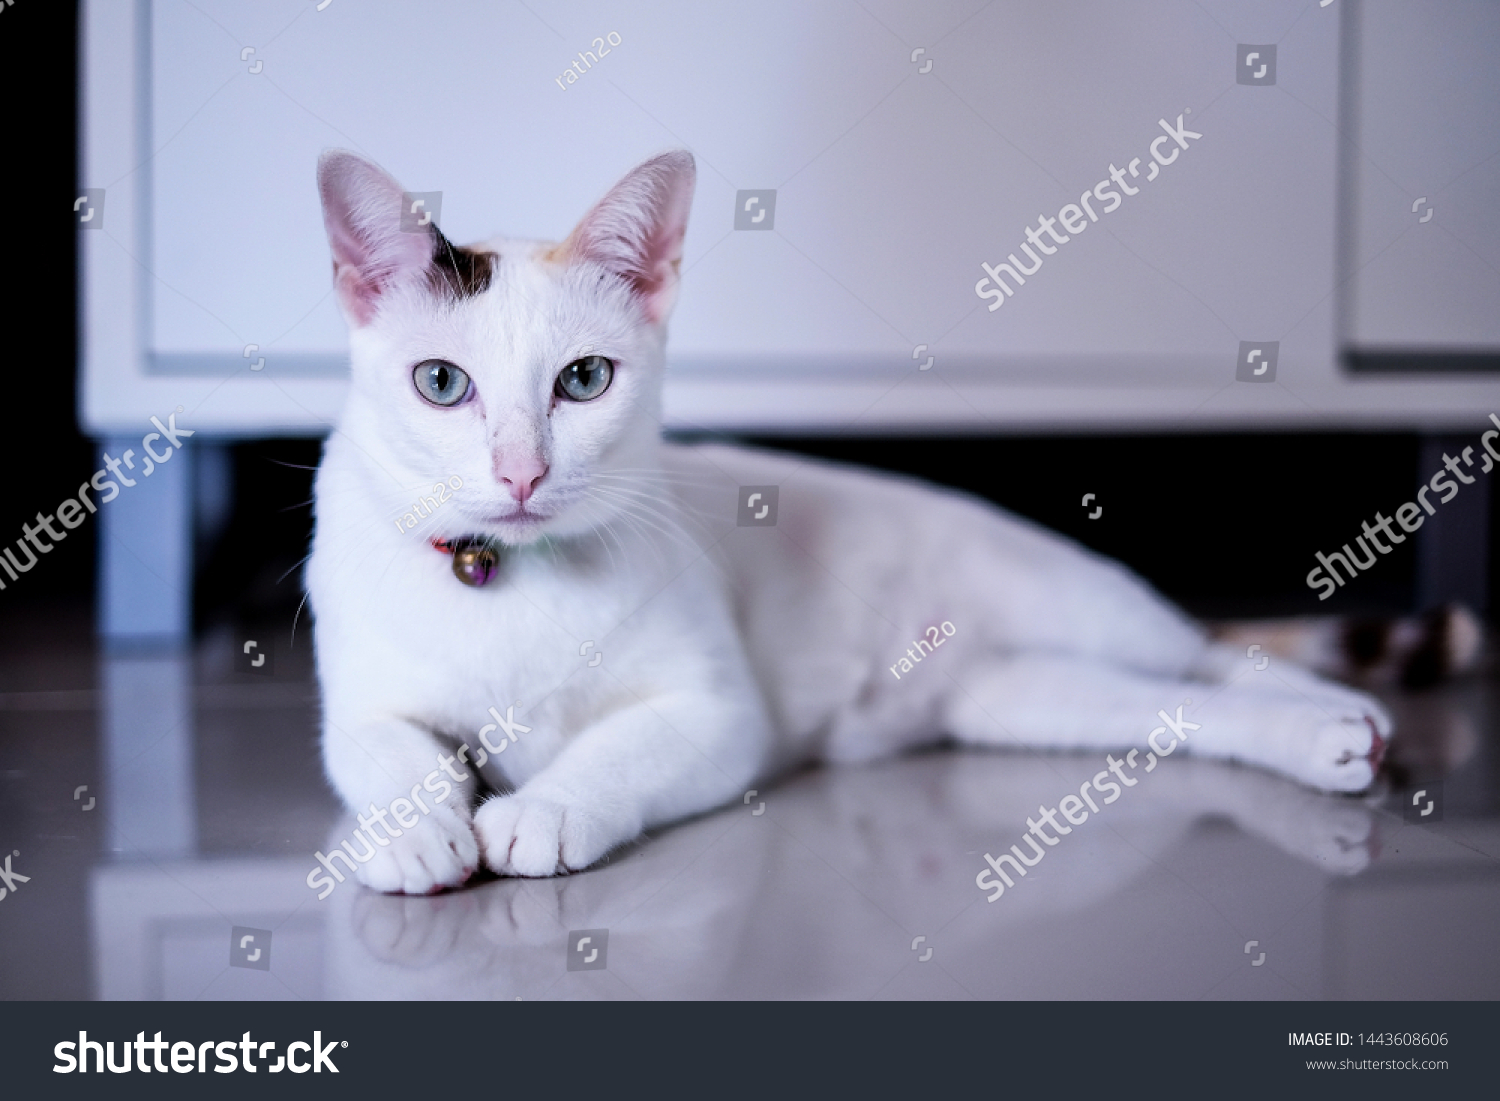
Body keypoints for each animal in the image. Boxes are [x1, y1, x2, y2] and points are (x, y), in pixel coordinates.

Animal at [310, 150, 1398, 900]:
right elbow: (384, 752)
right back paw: (1323, 738)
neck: (513, 575)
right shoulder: (364, 707)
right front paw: (411, 830)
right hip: (1021, 697)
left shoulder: (718, 715)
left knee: (1207, 654)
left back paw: (1347, 720)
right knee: (1179, 707)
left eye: (583, 381)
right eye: (441, 384)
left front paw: (544, 807)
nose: (521, 471)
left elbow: (618, 748)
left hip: (1081, 609)